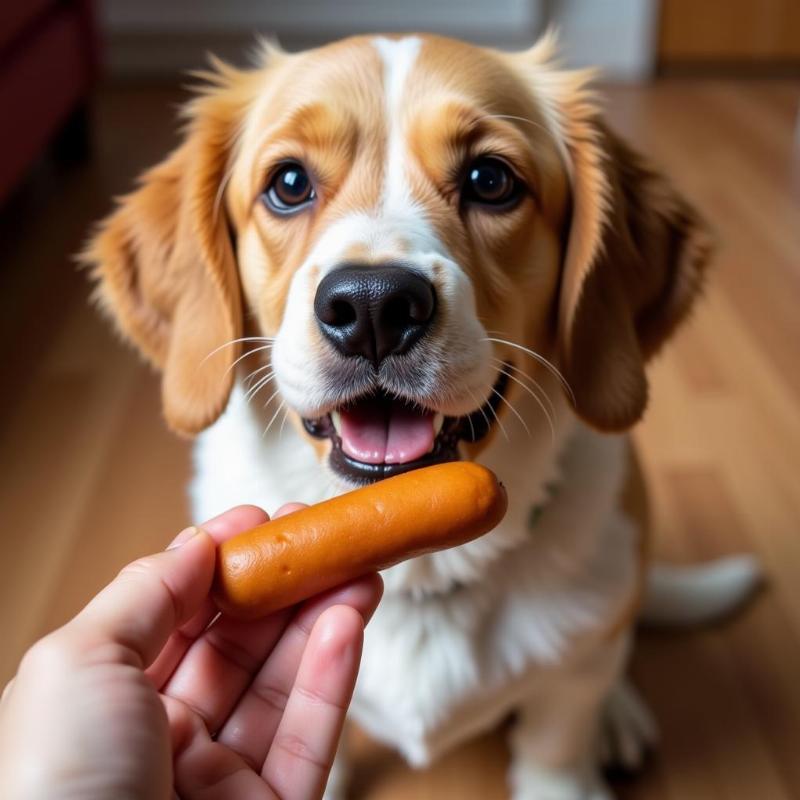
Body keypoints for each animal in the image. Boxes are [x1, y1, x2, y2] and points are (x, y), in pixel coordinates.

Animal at [84, 32, 760, 800]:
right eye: (288, 184)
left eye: (490, 180)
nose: (372, 306)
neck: (423, 573)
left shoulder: (567, 695)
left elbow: (560, 745)